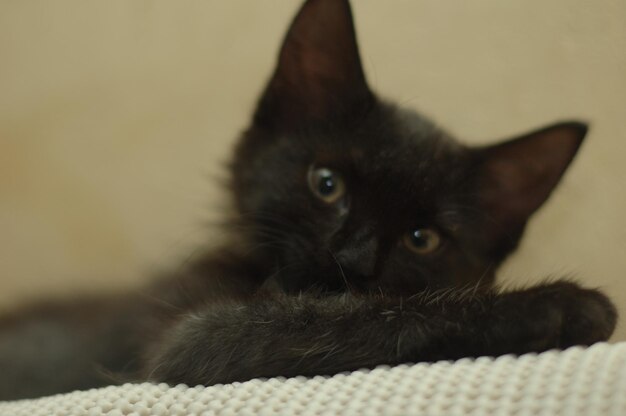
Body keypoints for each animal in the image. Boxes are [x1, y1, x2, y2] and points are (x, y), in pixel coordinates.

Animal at [0, 0, 616, 400]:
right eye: (327, 184)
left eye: (422, 238)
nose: (354, 259)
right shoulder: (188, 340)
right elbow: (362, 317)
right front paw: (560, 305)